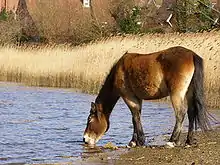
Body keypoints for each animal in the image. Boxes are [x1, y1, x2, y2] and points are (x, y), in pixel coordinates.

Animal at [83, 46, 211, 147]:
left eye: (90, 120)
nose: (85, 139)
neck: (118, 71)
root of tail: (191, 55)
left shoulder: (128, 97)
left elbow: (135, 117)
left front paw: (138, 141)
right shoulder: (137, 99)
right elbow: (135, 117)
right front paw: (134, 141)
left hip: (176, 94)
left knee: (180, 113)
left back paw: (172, 141)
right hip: (189, 92)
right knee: (191, 112)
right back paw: (189, 141)